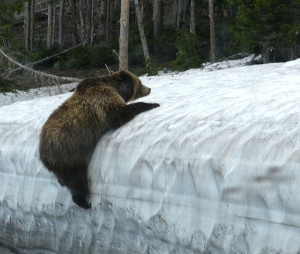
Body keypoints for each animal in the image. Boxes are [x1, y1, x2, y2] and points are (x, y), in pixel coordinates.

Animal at [39, 69, 159, 208]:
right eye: (140, 82)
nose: (149, 89)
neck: (116, 89)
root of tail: (41, 152)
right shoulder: (102, 101)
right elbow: (119, 114)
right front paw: (153, 104)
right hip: (66, 153)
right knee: (77, 178)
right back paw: (84, 202)